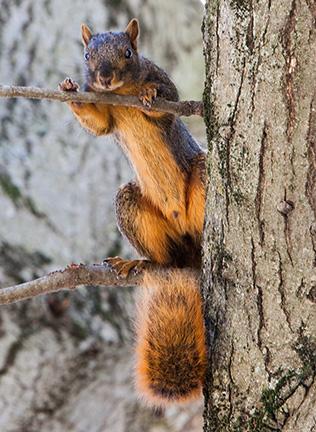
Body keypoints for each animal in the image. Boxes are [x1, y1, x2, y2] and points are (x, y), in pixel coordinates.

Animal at [59, 18, 207, 406]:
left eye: (128, 52)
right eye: (87, 54)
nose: (104, 77)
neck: (123, 91)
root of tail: (189, 255)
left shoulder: (166, 86)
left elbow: (167, 100)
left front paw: (150, 93)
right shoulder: (104, 111)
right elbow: (96, 124)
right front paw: (69, 89)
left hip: (202, 175)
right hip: (130, 205)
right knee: (162, 258)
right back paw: (138, 263)